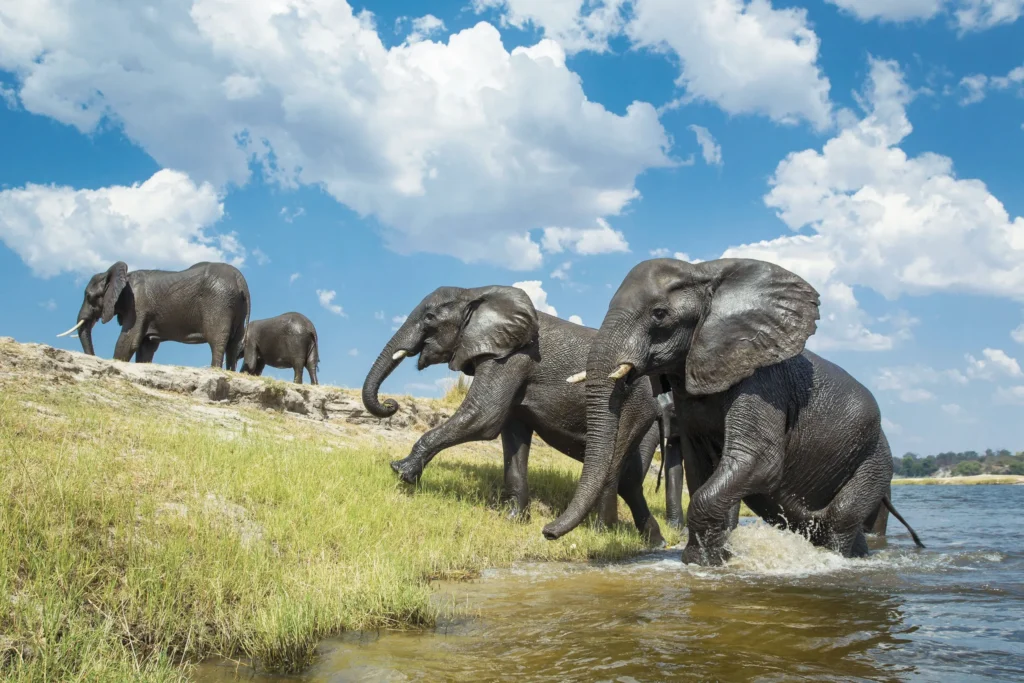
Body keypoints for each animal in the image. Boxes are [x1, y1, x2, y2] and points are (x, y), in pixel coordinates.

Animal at [58, 261, 250, 370]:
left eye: (89, 296)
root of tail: (240, 279)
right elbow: (146, 346)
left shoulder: (137, 305)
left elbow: (128, 341)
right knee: (233, 344)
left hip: (219, 303)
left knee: (217, 340)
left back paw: (214, 370)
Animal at [361, 285, 682, 546]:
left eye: (429, 318)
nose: (390, 404)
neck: (475, 292)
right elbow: (512, 434)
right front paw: (513, 519)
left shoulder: (512, 358)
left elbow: (484, 416)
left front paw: (400, 471)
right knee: (628, 476)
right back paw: (656, 542)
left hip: (633, 405)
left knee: (615, 464)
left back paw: (602, 533)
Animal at [542, 257, 924, 566]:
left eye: (659, 314)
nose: (547, 531)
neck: (704, 273)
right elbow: (701, 467)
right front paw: (714, 558)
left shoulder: (762, 383)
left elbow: (757, 461)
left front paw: (702, 562)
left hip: (874, 462)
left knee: (840, 517)